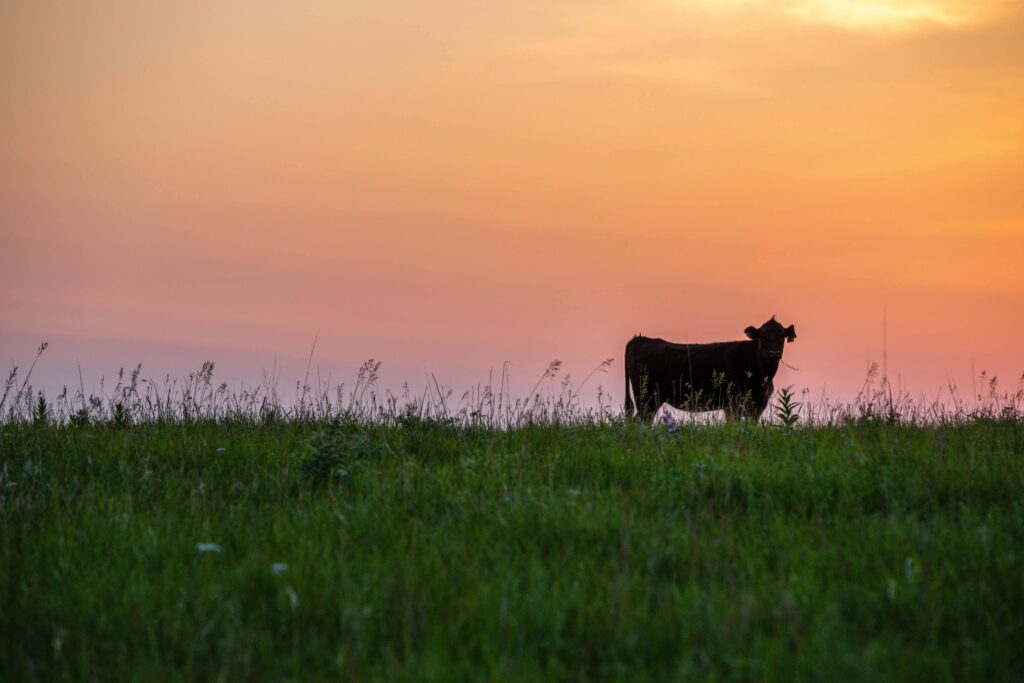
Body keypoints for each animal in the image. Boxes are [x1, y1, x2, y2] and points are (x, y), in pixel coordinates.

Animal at [622, 317, 798, 421]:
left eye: (781, 336)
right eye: (763, 337)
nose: (773, 353)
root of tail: (640, 339)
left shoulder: (758, 404)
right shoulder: (732, 403)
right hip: (646, 398)